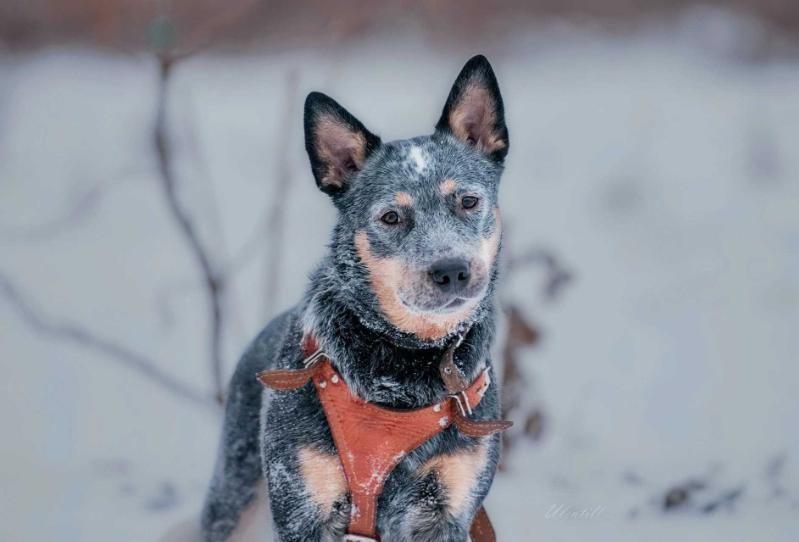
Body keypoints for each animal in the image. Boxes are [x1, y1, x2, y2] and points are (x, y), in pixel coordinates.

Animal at [202, 56, 512, 542]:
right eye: (391, 216)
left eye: (467, 201)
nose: (452, 270)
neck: (404, 369)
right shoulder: (303, 506)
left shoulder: (445, 508)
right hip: (234, 489)